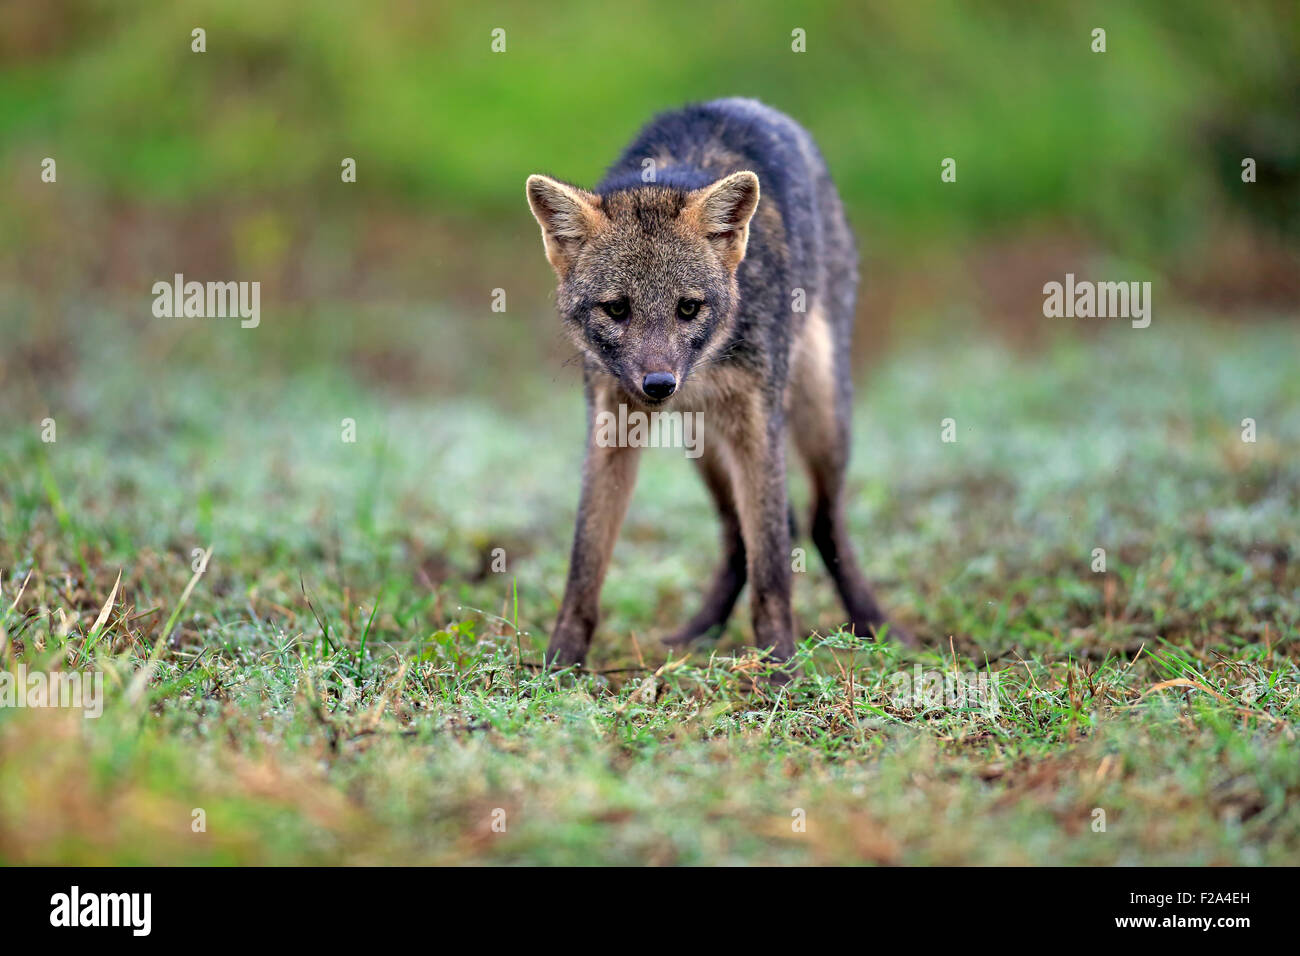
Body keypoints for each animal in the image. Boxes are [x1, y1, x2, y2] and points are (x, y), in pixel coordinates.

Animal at [526, 97, 911, 669]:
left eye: (688, 308)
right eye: (617, 309)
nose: (659, 385)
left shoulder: (756, 420)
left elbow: (773, 569)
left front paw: (780, 666)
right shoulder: (611, 427)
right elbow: (585, 563)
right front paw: (561, 662)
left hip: (819, 419)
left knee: (819, 521)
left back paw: (873, 624)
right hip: (705, 444)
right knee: (739, 536)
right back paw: (700, 633)